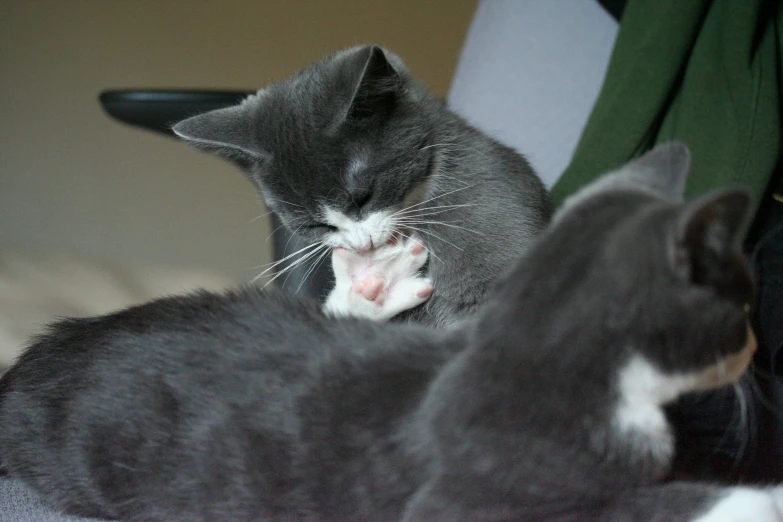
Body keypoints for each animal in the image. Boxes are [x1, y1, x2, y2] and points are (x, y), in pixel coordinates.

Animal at [0, 143, 776, 520]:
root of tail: (33, 361)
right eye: (742, 306)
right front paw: (746, 502)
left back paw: (372, 285)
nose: (756, 345)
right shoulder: (460, 496)